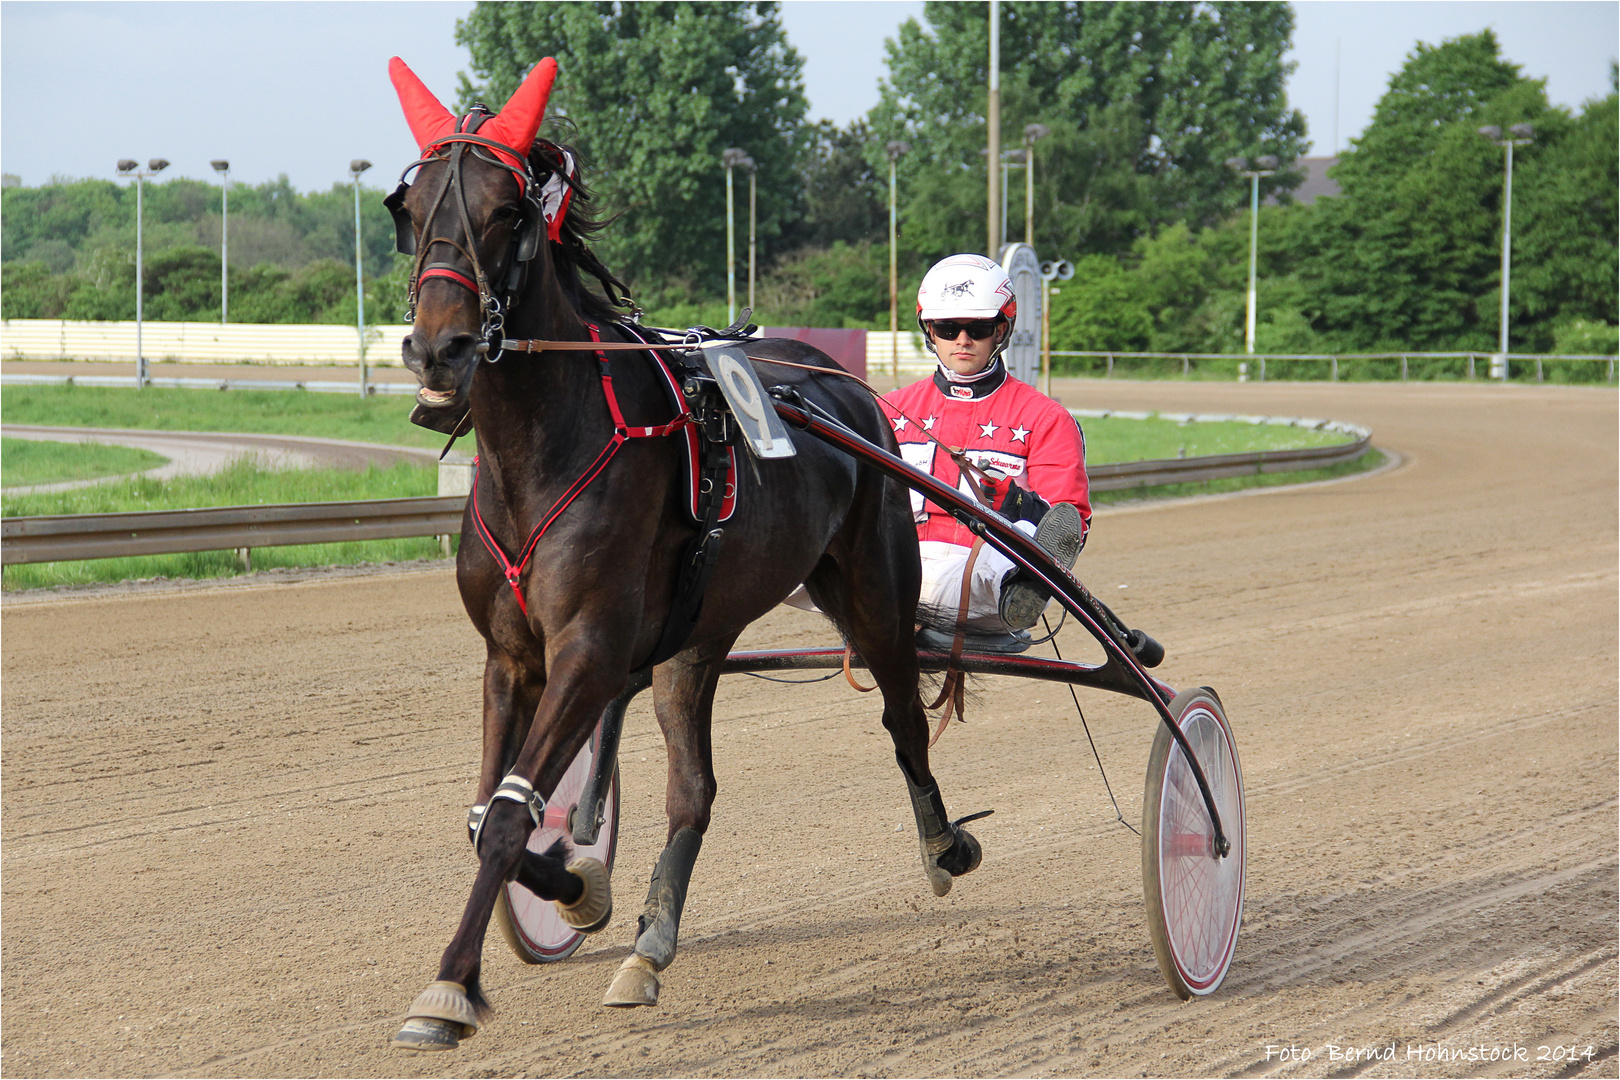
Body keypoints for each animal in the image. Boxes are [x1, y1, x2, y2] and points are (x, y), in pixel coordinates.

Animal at [385, 55, 978, 1049]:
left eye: (506, 210)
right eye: (411, 205)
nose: (441, 346)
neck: (544, 447)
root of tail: (835, 382)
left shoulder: (587, 648)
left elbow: (505, 820)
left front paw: (449, 990)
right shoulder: (513, 657)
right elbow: (486, 814)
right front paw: (579, 884)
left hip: (874, 591)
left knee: (902, 716)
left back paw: (943, 845)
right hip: (696, 638)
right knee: (691, 788)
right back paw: (648, 945)